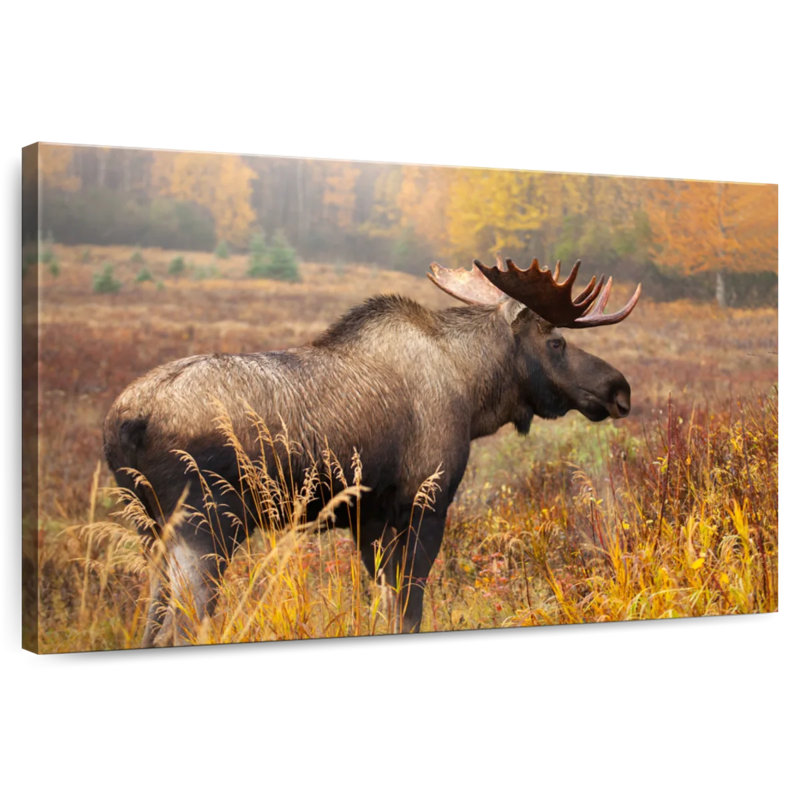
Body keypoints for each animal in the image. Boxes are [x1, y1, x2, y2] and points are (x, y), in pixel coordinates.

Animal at [103, 256, 641, 645]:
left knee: (151, 625)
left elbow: (384, 606)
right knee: (179, 629)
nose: (620, 388)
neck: (473, 395)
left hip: (152, 529)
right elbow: (410, 609)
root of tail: (124, 423)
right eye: (556, 342)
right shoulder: (424, 504)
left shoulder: (369, 517)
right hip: (207, 523)